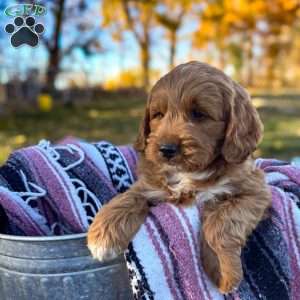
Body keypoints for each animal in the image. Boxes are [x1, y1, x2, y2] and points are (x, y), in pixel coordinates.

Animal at [87, 62, 272, 294]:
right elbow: (126, 198)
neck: (188, 172)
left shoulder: (254, 190)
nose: (166, 149)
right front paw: (102, 235)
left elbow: (221, 222)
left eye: (199, 114)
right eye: (158, 114)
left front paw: (223, 270)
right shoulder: (148, 185)